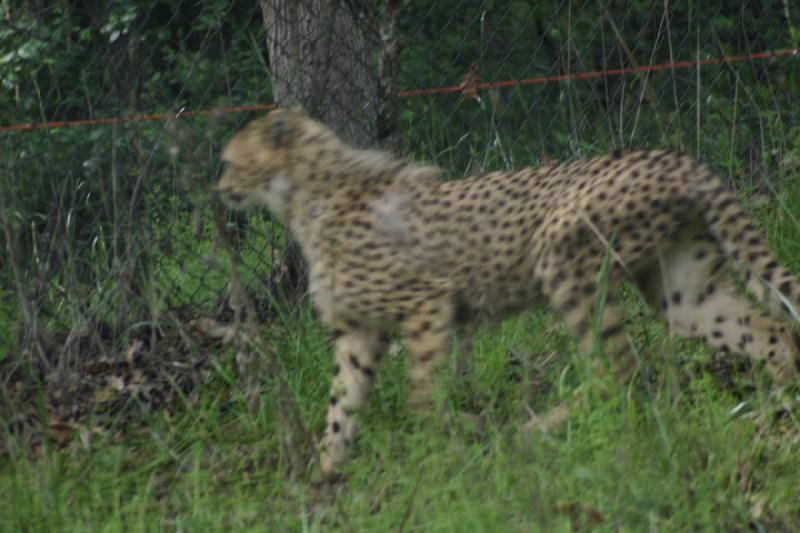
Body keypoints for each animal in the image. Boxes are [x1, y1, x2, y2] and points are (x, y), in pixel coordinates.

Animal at [216, 107, 796, 478]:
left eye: (229, 161)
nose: (219, 189)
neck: (305, 193)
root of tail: (676, 157)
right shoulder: (359, 333)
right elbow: (340, 408)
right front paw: (323, 480)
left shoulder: (428, 303)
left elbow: (422, 393)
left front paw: (446, 442)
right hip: (684, 293)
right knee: (769, 329)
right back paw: (782, 402)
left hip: (560, 255)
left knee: (615, 370)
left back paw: (533, 433)